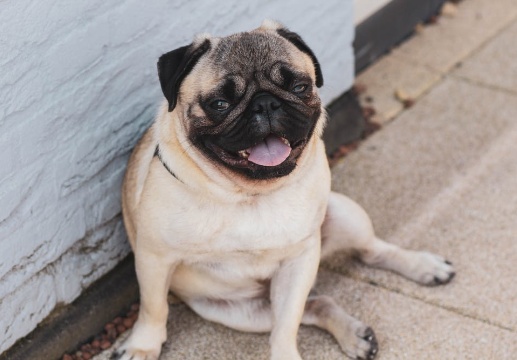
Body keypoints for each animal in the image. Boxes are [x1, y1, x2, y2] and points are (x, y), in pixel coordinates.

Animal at [115, 20, 454, 360]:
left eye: (299, 87)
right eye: (220, 104)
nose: (265, 103)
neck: (248, 194)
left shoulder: (298, 261)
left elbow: (286, 324)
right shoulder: (153, 258)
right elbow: (153, 307)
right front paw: (143, 345)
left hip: (344, 214)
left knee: (371, 252)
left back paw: (424, 266)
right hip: (238, 313)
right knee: (317, 304)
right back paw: (355, 334)